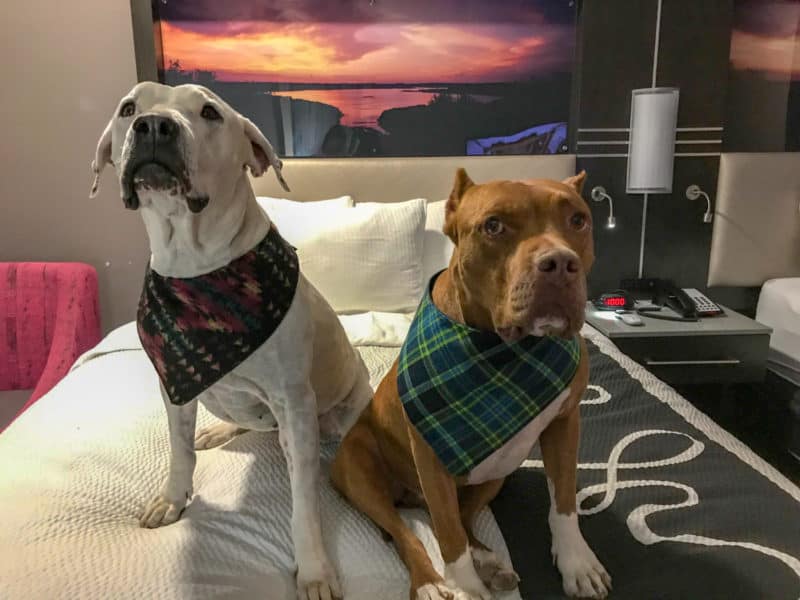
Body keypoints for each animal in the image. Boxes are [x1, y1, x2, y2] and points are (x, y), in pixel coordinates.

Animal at [92, 81, 374, 600]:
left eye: (210, 112)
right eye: (129, 108)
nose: (154, 125)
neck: (196, 264)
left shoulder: (293, 403)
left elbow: (304, 504)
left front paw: (314, 570)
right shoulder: (175, 384)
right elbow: (179, 450)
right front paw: (172, 499)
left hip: (343, 410)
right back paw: (221, 429)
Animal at [328, 169, 608, 600]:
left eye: (578, 220)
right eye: (493, 226)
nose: (561, 263)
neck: (504, 351)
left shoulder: (566, 424)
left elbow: (562, 500)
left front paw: (577, 563)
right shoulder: (430, 453)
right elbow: (447, 536)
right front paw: (465, 586)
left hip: (497, 472)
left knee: (461, 517)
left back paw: (490, 561)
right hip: (359, 471)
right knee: (407, 530)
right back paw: (430, 581)